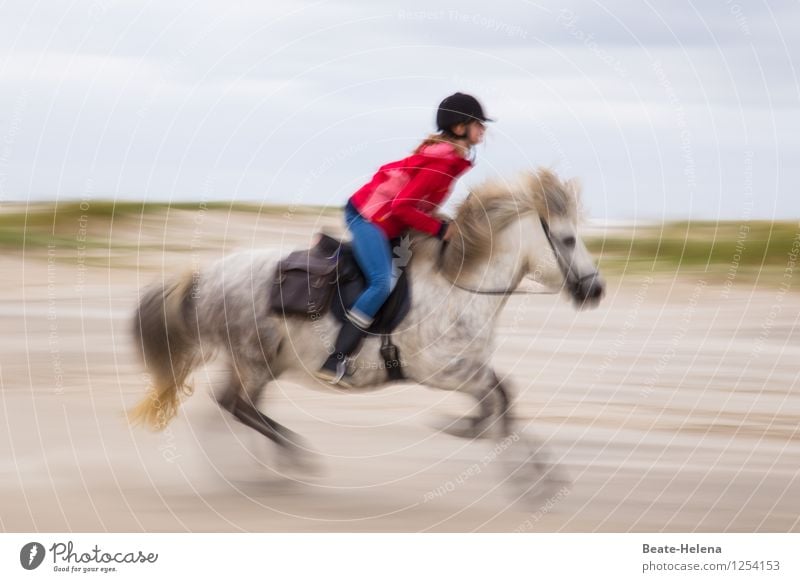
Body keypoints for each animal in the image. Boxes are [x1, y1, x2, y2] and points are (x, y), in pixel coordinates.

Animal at [131, 169, 604, 470]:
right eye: (567, 239)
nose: (595, 290)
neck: (458, 288)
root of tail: (204, 277)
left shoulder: (471, 369)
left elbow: (505, 398)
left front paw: (525, 468)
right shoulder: (448, 373)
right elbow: (498, 401)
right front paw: (501, 454)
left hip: (259, 362)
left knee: (234, 407)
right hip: (253, 358)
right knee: (237, 406)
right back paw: (293, 457)